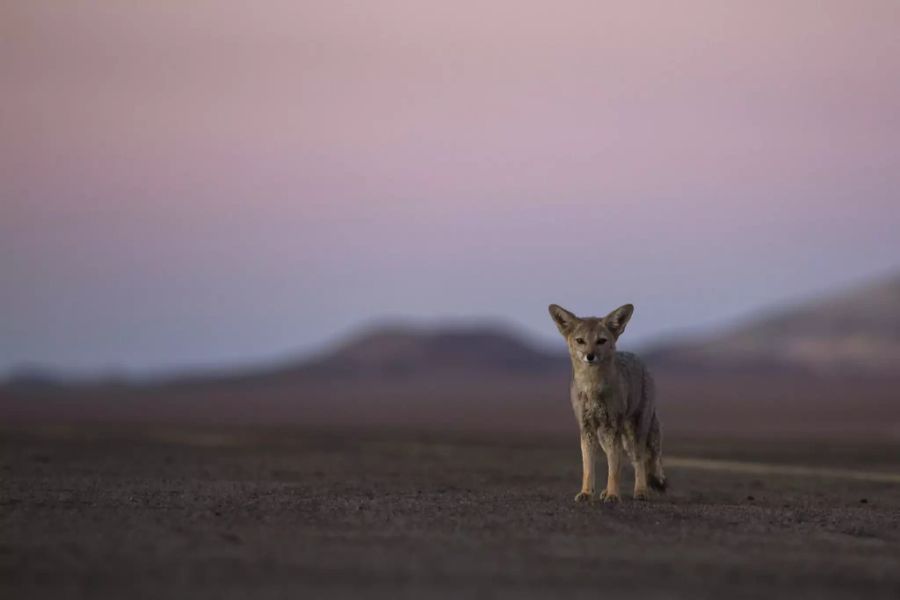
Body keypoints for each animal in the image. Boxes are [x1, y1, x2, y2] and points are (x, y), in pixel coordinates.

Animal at [544, 302, 664, 504]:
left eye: (601, 341)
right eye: (580, 341)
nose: (590, 356)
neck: (592, 387)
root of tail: (639, 359)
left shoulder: (612, 427)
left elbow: (614, 469)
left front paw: (614, 495)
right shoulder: (587, 429)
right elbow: (589, 468)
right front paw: (586, 492)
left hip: (635, 432)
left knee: (638, 460)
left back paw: (640, 490)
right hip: (605, 437)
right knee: (617, 458)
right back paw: (606, 491)